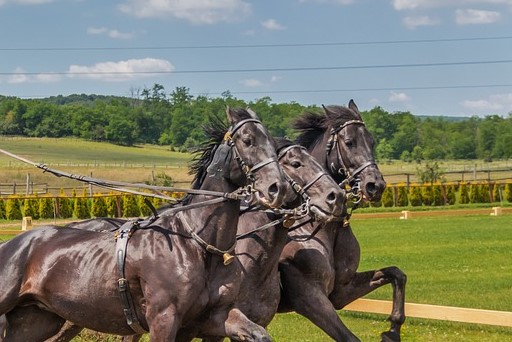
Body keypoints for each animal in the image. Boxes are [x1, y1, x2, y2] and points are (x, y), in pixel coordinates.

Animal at [0, 107, 292, 342]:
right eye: (248, 140)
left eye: (273, 144)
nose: (277, 188)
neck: (197, 245)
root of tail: (12, 244)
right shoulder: (164, 319)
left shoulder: (211, 318)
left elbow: (258, 333)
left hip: (36, 320)